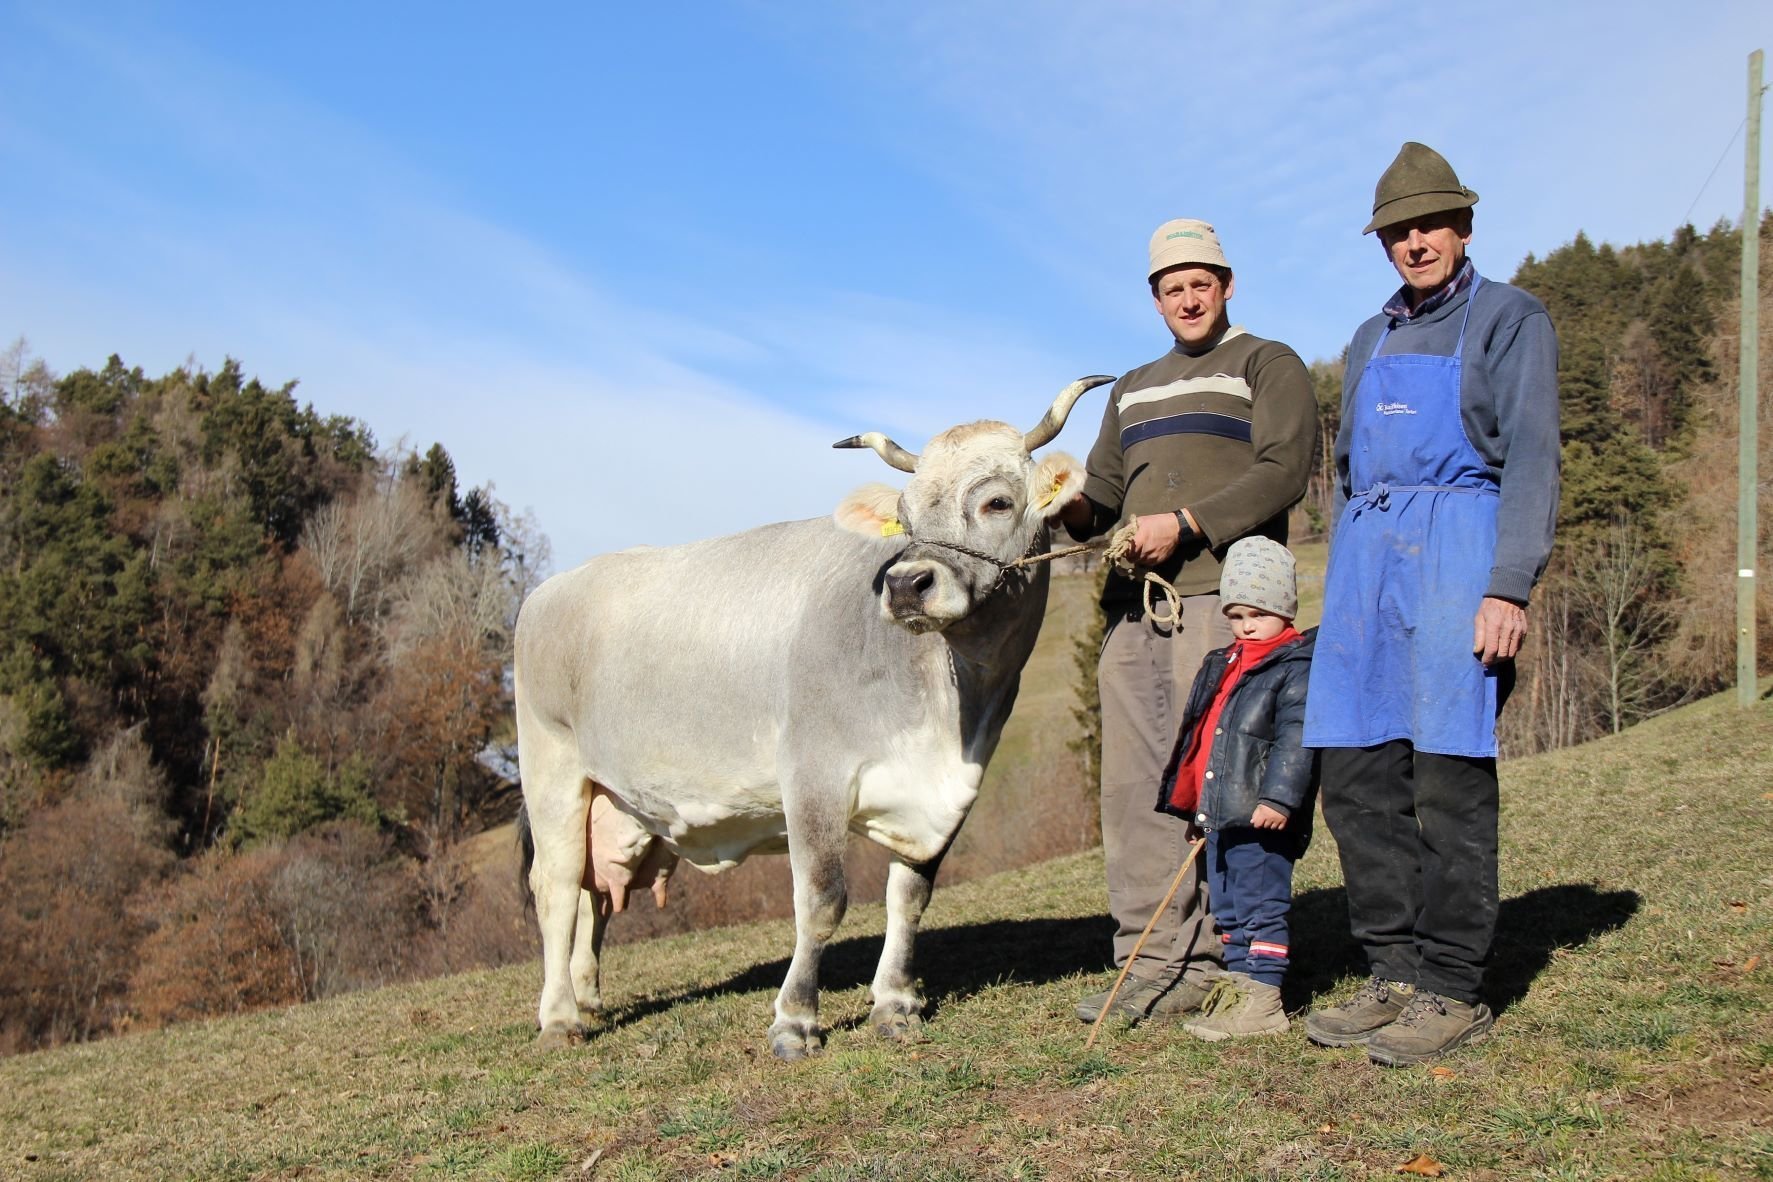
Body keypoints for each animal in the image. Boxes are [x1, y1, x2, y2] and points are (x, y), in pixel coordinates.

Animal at [510, 373, 1106, 1056]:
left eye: (998, 503)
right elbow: (821, 901)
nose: (905, 585)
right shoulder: (812, 774)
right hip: (551, 766)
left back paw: (585, 999)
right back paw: (558, 1019)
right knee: (557, 888)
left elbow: (909, 898)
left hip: (617, 802)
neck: (950, 711)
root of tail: (554, 586)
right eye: (904, 518)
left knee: (592, 896)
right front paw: (795, 1020)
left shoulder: (946, 796)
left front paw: (895, 1003)